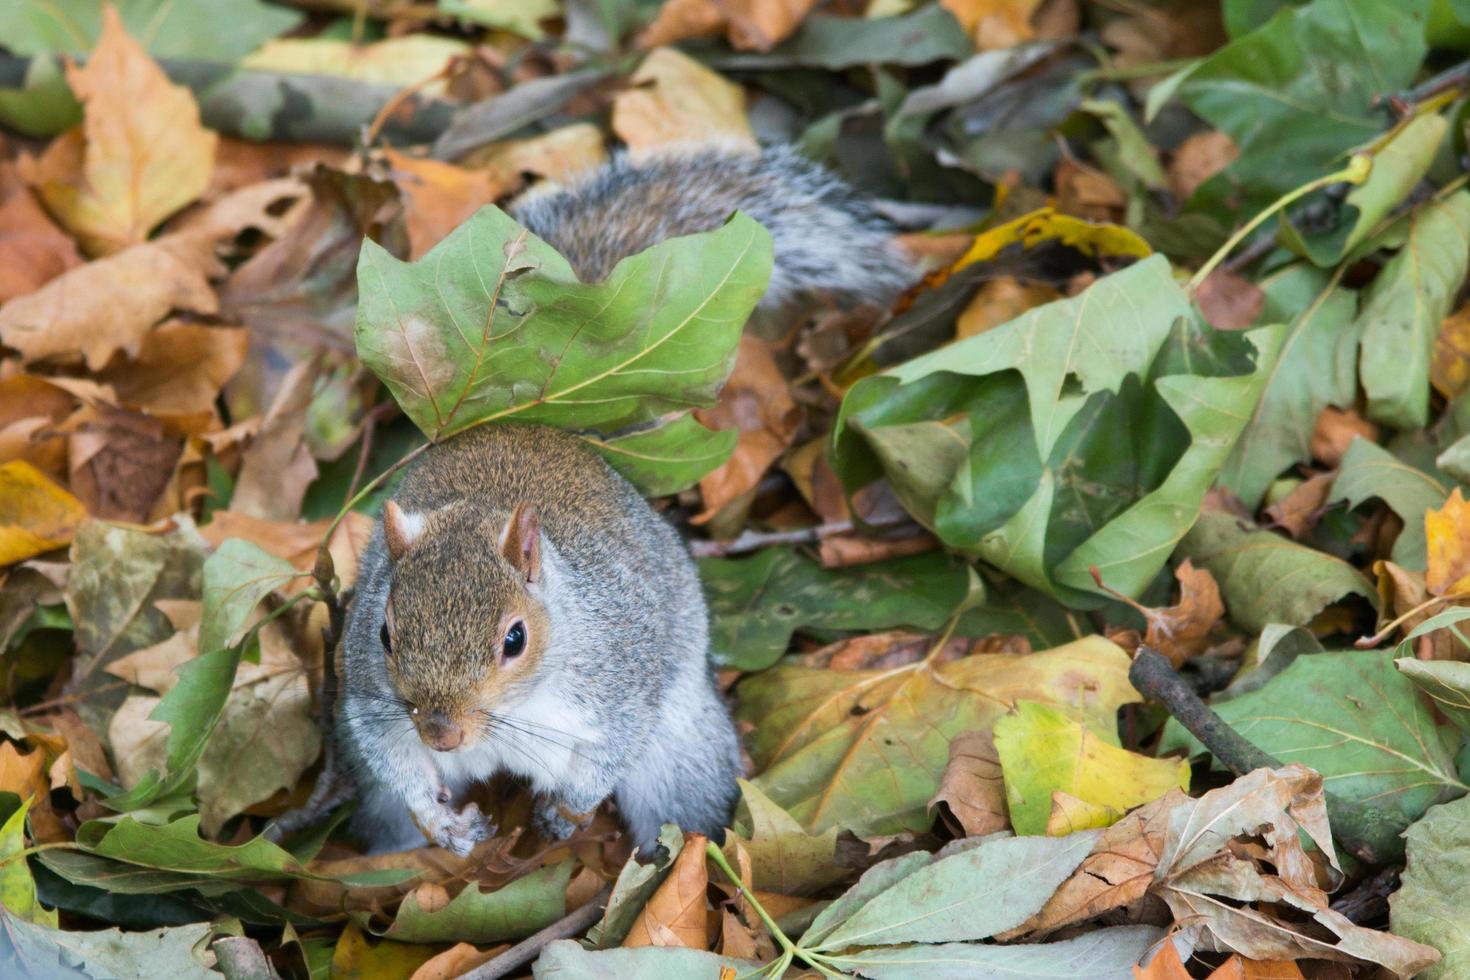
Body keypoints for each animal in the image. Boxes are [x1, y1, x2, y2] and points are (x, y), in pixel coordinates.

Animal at [333, 141, 917, 852]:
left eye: (514, 639)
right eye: (385, 633)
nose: (442, 734)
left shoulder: (618, 679)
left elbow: (612, 749)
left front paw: (569, 810)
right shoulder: (371, 702)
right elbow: (393, 758)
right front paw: (442, 822)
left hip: (681, 754)